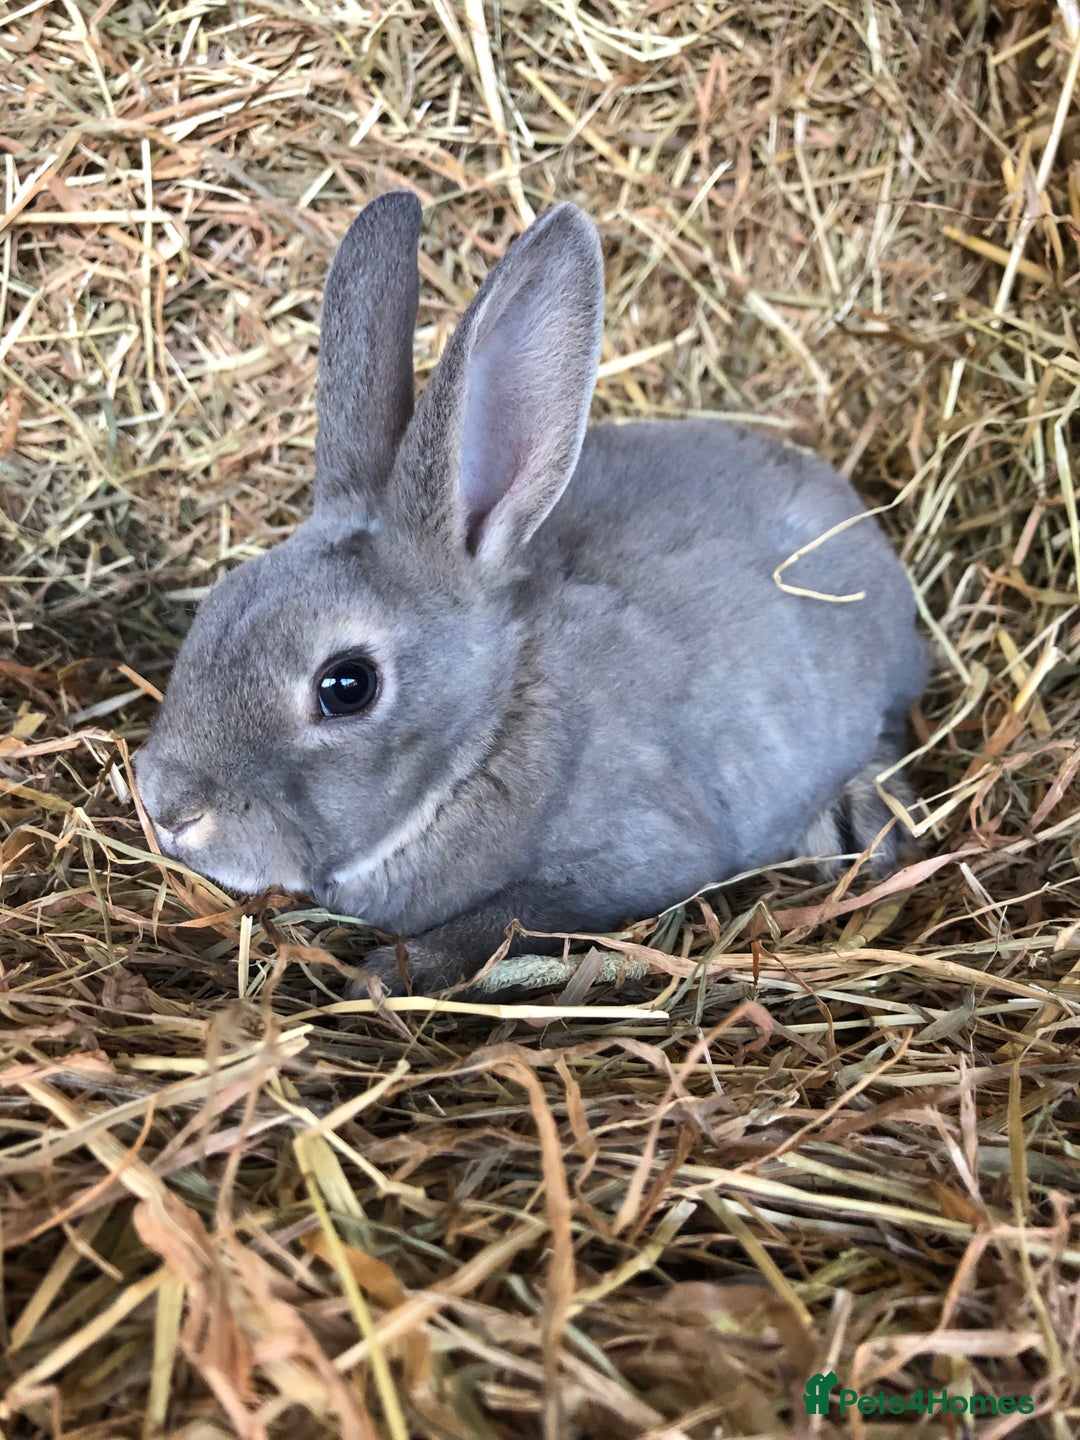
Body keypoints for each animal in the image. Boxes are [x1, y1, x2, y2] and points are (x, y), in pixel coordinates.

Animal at [134, 191, 928, 995]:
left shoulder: (628, 863)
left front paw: (384, 977)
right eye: (214, 606)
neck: (487, 736)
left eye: (347, 685)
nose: (169, 809)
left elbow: (506, 922)